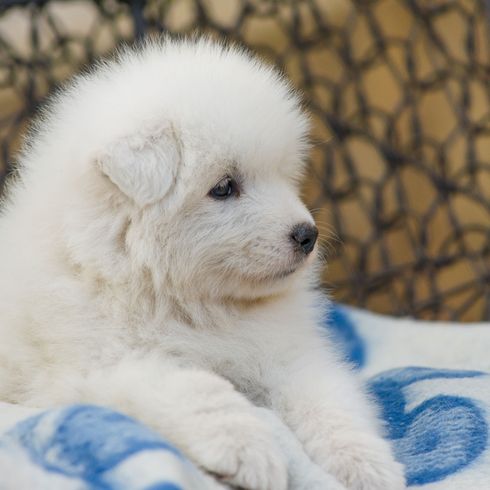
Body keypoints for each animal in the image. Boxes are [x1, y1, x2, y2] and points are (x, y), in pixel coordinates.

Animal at [0, 39, 406, 490]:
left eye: (284, 175)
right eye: (224, 187)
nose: (308, 235)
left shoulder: (287, 353)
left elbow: (325, 398)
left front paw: (364, 462)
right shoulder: (102, 367)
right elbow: (196, 388)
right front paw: (247, 446)